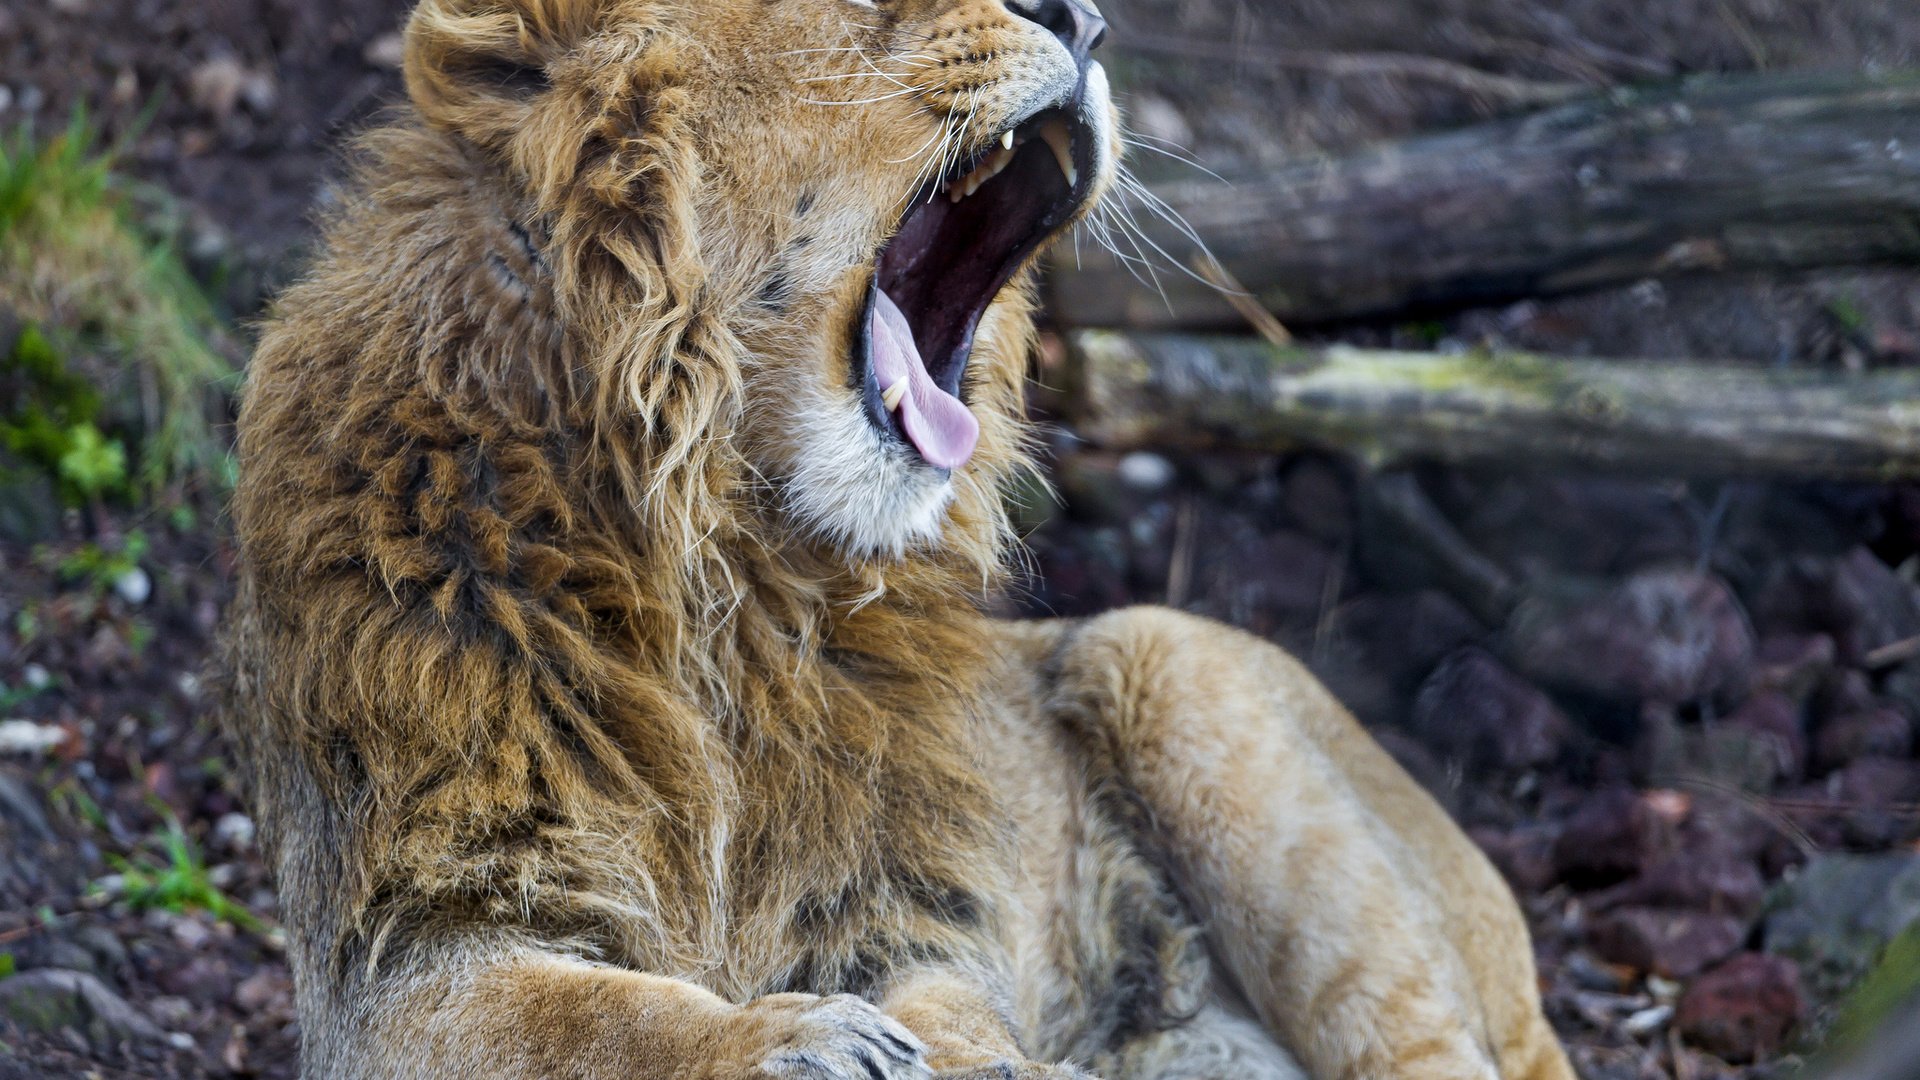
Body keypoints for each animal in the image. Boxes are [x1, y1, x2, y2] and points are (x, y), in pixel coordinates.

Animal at [220, 0, 1574, 1068]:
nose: (1088, 19)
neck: (725, 568)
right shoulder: (407, 941)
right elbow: (601, 1021)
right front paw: (791, 1041)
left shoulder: (908, 907)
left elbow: (958, 1011)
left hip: (1162, 661)